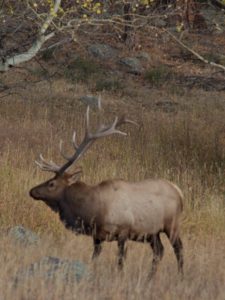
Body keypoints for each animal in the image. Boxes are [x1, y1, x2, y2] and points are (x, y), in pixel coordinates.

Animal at [29, 106, 183, 278]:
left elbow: (120, 262)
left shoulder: (123, 232)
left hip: (172, 224)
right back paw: (149, 278)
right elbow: (94, 258)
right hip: (152, 232)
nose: (32, 191)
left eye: (52, 184)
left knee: (178, 250)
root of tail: (179, 191)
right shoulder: (97, 237)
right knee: (159, 251)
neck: (93, 211)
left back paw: (180, 276)